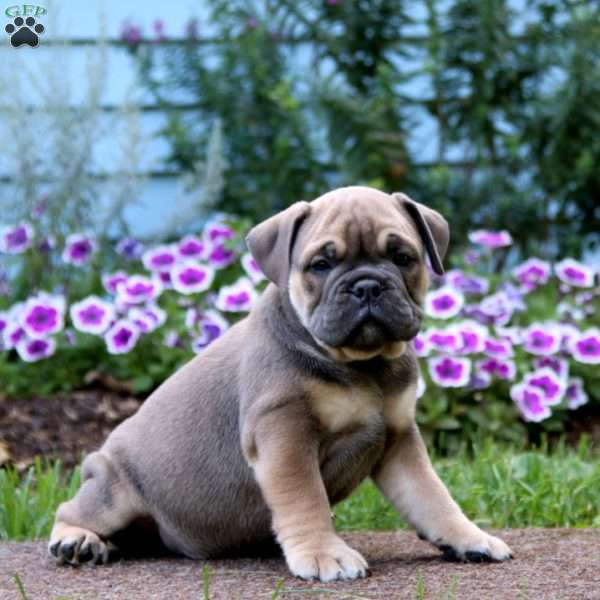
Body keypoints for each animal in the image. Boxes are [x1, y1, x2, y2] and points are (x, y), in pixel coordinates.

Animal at [49, 186, 512, 580]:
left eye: (402, 257)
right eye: (321, 265)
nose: (366, 285)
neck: (362, 365)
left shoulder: (399, 440)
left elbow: (431, 496)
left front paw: (469, 537)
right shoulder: (286, 434)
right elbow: (306, 498)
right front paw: (324, 553)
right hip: (114, 491)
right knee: (73, 510)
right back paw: (79, 541)